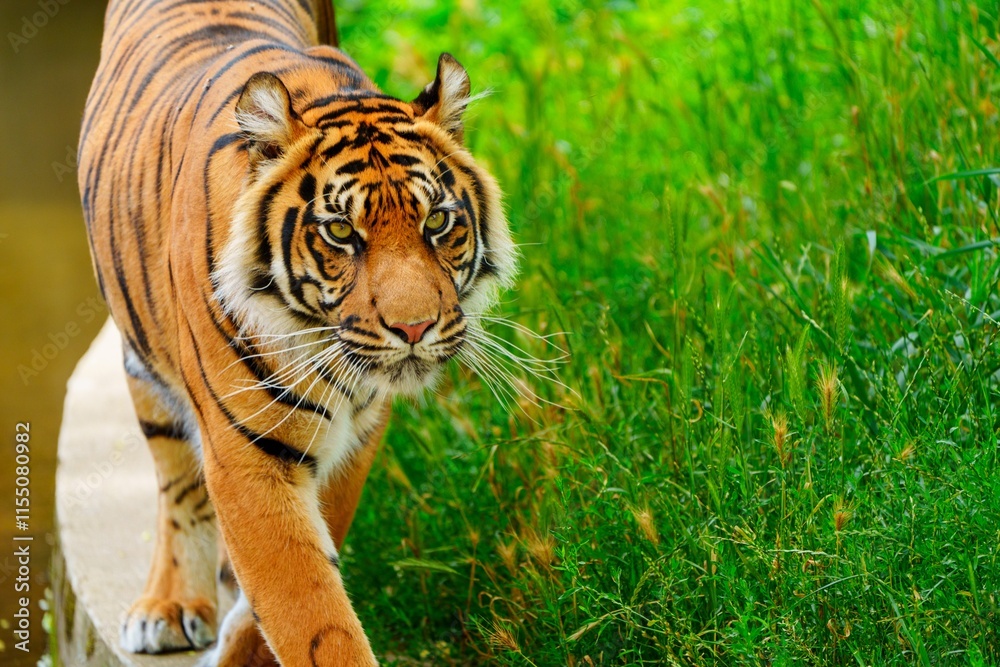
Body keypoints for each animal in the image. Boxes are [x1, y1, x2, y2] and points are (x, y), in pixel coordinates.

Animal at [77, 1, 516, 665]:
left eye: (438, 222)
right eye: (340, 232)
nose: (414, 327)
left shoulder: (359, 435)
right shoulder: (248, 455)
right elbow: (309, 612)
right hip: (141, 364)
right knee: (174, 480)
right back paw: (168, 607)